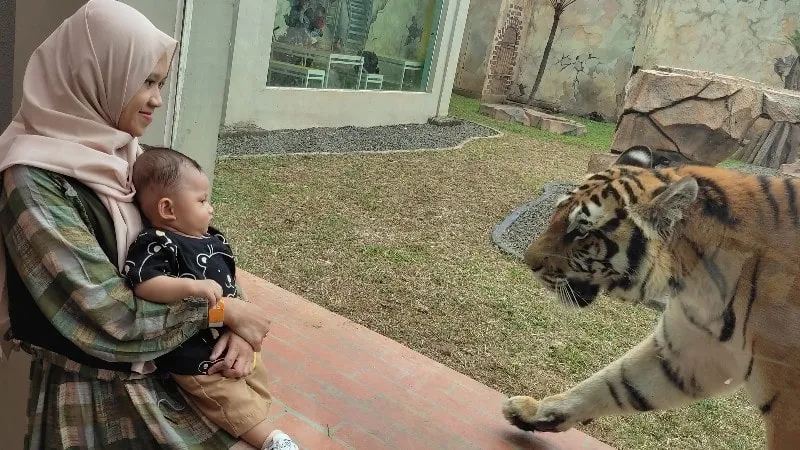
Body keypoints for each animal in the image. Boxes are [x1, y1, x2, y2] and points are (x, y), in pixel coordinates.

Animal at [504, 146, 796, 448]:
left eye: (582, 232)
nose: (528, 262)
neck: (696, 277)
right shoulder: (689, 350)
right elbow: (616, 382)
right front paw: (535, 411)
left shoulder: (788, 400)